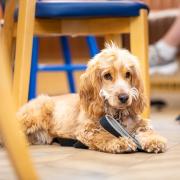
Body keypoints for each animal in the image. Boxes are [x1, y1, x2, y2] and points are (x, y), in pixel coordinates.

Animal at [16, 43, 167, 153]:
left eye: (128, 74)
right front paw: (119, 141)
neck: (116, 115)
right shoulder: (86, 130)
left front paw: (154, 140)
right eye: (107, 76)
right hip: (35, 114)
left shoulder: (140, 123)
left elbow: (147, 129)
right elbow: (103, 135)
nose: (124, 97)